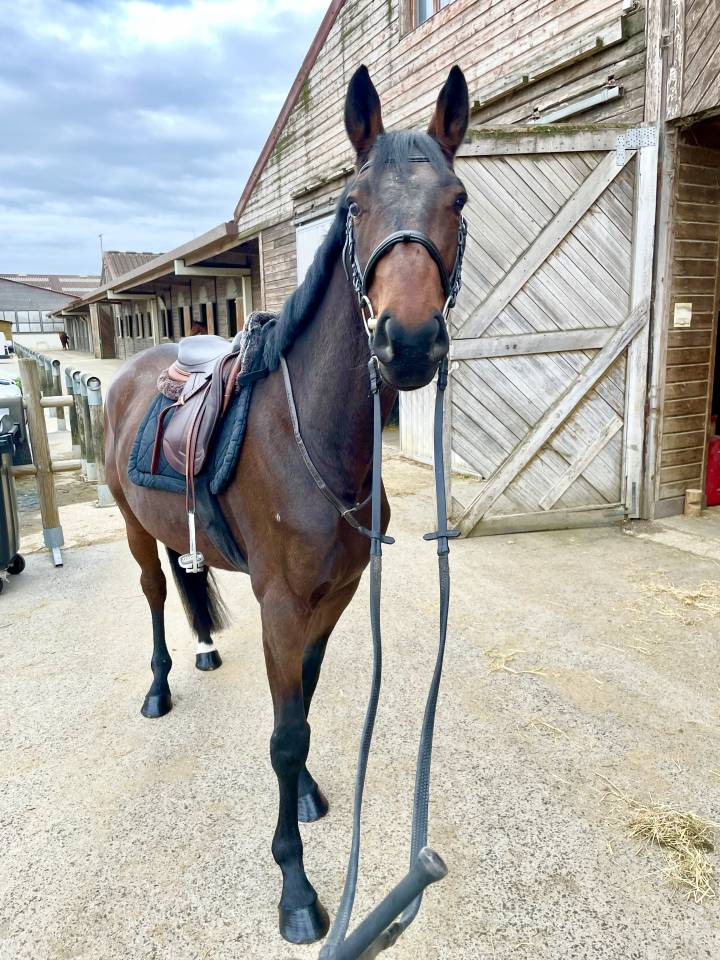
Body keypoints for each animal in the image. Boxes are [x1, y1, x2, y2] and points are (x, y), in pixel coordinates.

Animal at [104, 63, 469, 946]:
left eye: (458, 198)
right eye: (354, 204)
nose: (409, 343)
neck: (316, 444)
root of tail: (133, 372)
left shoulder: (332, 598)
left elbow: (301, 703)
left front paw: (304, 798)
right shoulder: (280, 603)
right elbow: (284, 733)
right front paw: (297, 888)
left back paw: (204, 651)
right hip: (132, 529)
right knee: (156, 594)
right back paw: (161, 687)